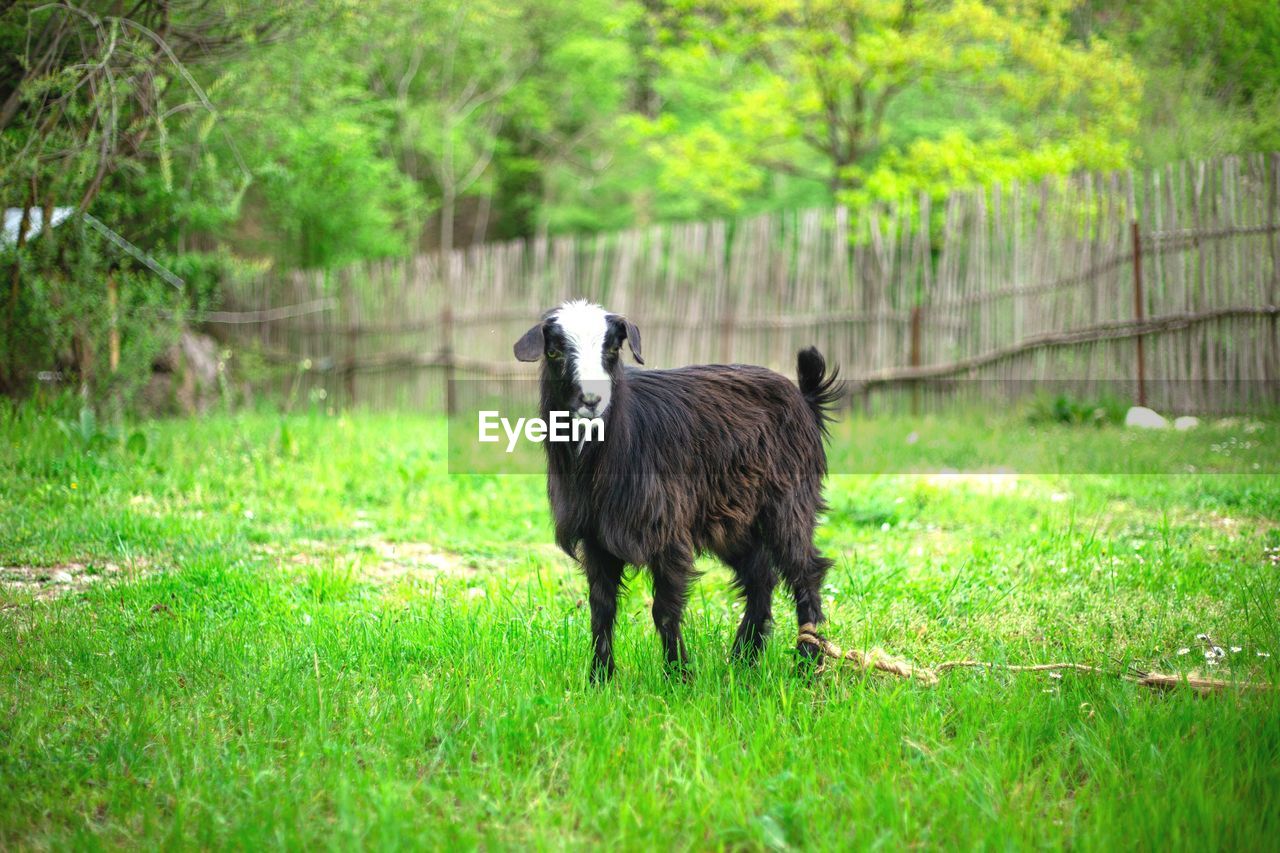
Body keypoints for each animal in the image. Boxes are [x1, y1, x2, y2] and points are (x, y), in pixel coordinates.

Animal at [514, 295, 844, 681]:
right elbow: (602, 608)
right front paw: (599, 678)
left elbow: (664, 609)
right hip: (734, 520)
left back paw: (807, 665)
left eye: (612, 349)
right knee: (760, 578)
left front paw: (678, 677)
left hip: (788, 503)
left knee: (806, 572)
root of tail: (805, 399)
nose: (592, 400)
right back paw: (743, 661)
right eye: (554, 351)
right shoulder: (594, 536)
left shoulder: (668, 531)